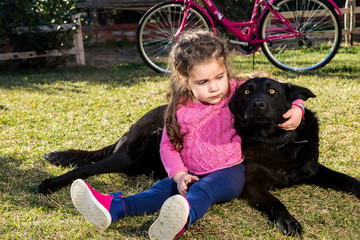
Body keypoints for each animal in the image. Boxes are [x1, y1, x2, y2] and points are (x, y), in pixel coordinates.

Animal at [38, 77, 358, 236]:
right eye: (246, 92)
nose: (258, 104)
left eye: (272, 92)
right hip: (128, 154)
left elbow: (348, 179)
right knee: (87, 168)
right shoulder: (252, 185)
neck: (275, 142)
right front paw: (287, 220)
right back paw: (52, 184)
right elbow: (276, 202)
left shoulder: (313, 169)